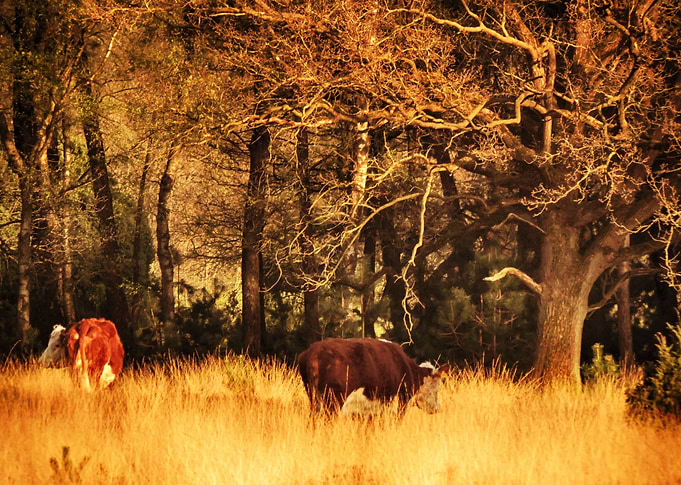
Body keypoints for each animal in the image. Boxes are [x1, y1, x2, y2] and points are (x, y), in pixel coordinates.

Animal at [298, 338, 449, 415]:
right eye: (436, 389)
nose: (437, 409)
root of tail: (312, 352)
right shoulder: (397, 404)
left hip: (314, 400)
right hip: (332, 402)